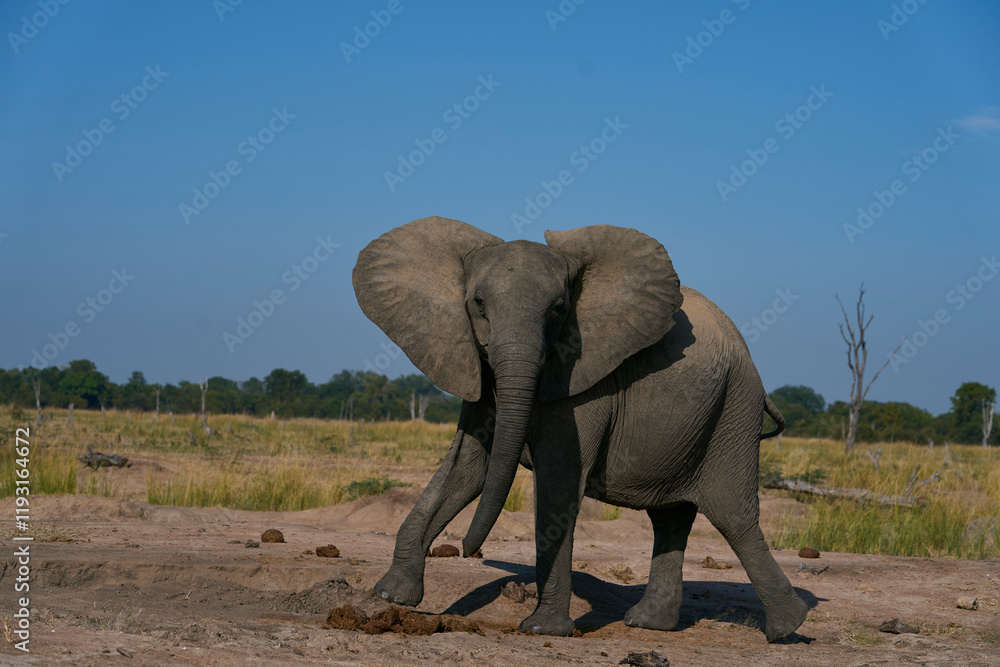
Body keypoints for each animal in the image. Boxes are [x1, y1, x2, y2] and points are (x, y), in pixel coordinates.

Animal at [352, 216, 808, 642]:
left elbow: (558, 483)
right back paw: (648, 624)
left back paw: (788, 628)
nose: (465, 550)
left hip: (734, 409)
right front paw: (391, 595)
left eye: (558, 309)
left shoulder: (585, 380)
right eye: (478, 303)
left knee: (733, 517)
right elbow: (466, 468)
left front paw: (541, 629)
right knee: (671, 518)